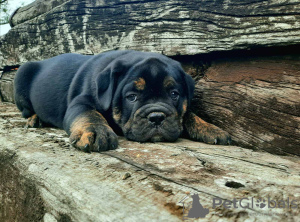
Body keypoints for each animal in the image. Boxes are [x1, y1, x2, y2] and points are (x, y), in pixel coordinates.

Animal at [14, 50, 231, 152]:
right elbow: (89, 114)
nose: (157, 117)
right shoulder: (81, 101)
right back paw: (35, 119)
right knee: (26, 110)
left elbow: (187, 114)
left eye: (174, 94)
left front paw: (210, 128)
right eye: (131, 97)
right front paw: (96, 131)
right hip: (21, 76)